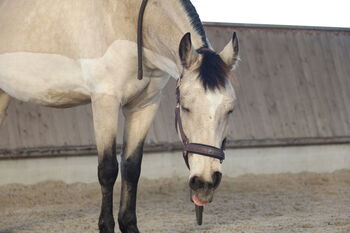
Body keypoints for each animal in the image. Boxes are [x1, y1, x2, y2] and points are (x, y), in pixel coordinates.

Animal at [0, 0, 238, 233]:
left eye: (230, 110)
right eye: (186, 107)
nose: (205, 182)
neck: (128, 19)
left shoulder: (145, 105)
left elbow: (131, 168)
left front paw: (129, 224)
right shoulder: (105, 100)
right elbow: (107, 169)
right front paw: (106, 225)